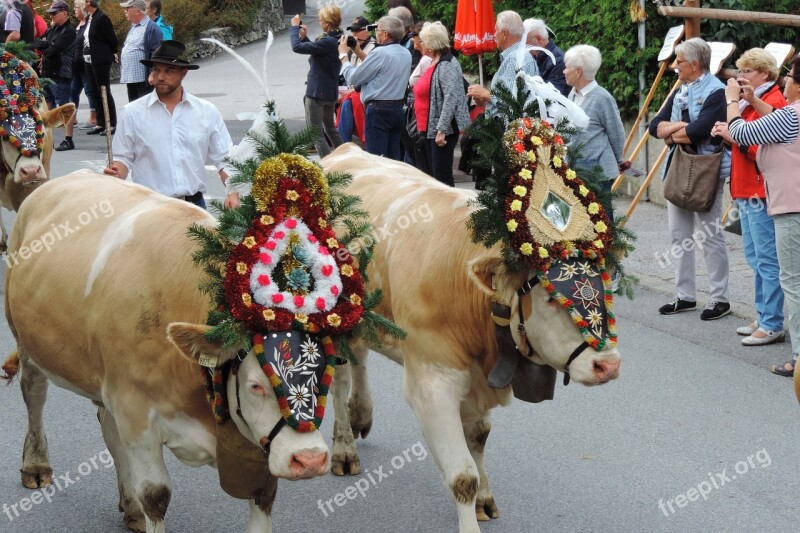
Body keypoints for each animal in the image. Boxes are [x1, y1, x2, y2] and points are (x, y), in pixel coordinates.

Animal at [1, 172, 330, 528]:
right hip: (25, 337)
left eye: (323, 377)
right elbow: (155, 497)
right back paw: (36, 467)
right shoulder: (135, 411)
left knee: (108, 428)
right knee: (34, 392)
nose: (310, 459)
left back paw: (130, 508)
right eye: (256, 385)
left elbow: (264, 497)